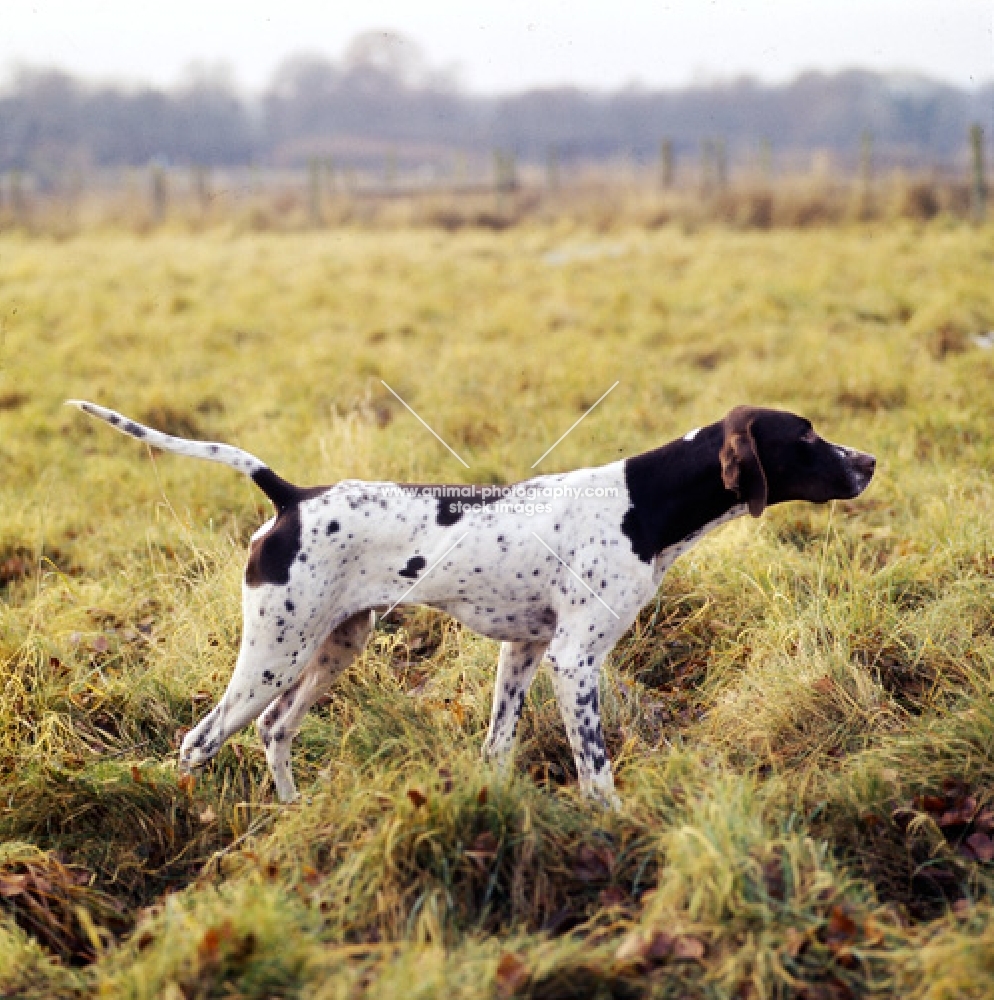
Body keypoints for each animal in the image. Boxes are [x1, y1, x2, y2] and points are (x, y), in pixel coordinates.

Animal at [70, 400, 872, 804]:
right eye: (806, 436)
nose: (869, 460)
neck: (643, 504)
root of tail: (290, 496)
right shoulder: (575, 662)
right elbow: (596, 772)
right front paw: (612, 831)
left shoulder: (525, 651)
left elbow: (496, 749)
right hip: (274, 654)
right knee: (199, 741)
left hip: (333, 648)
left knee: (274, 730)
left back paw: (293, 815)